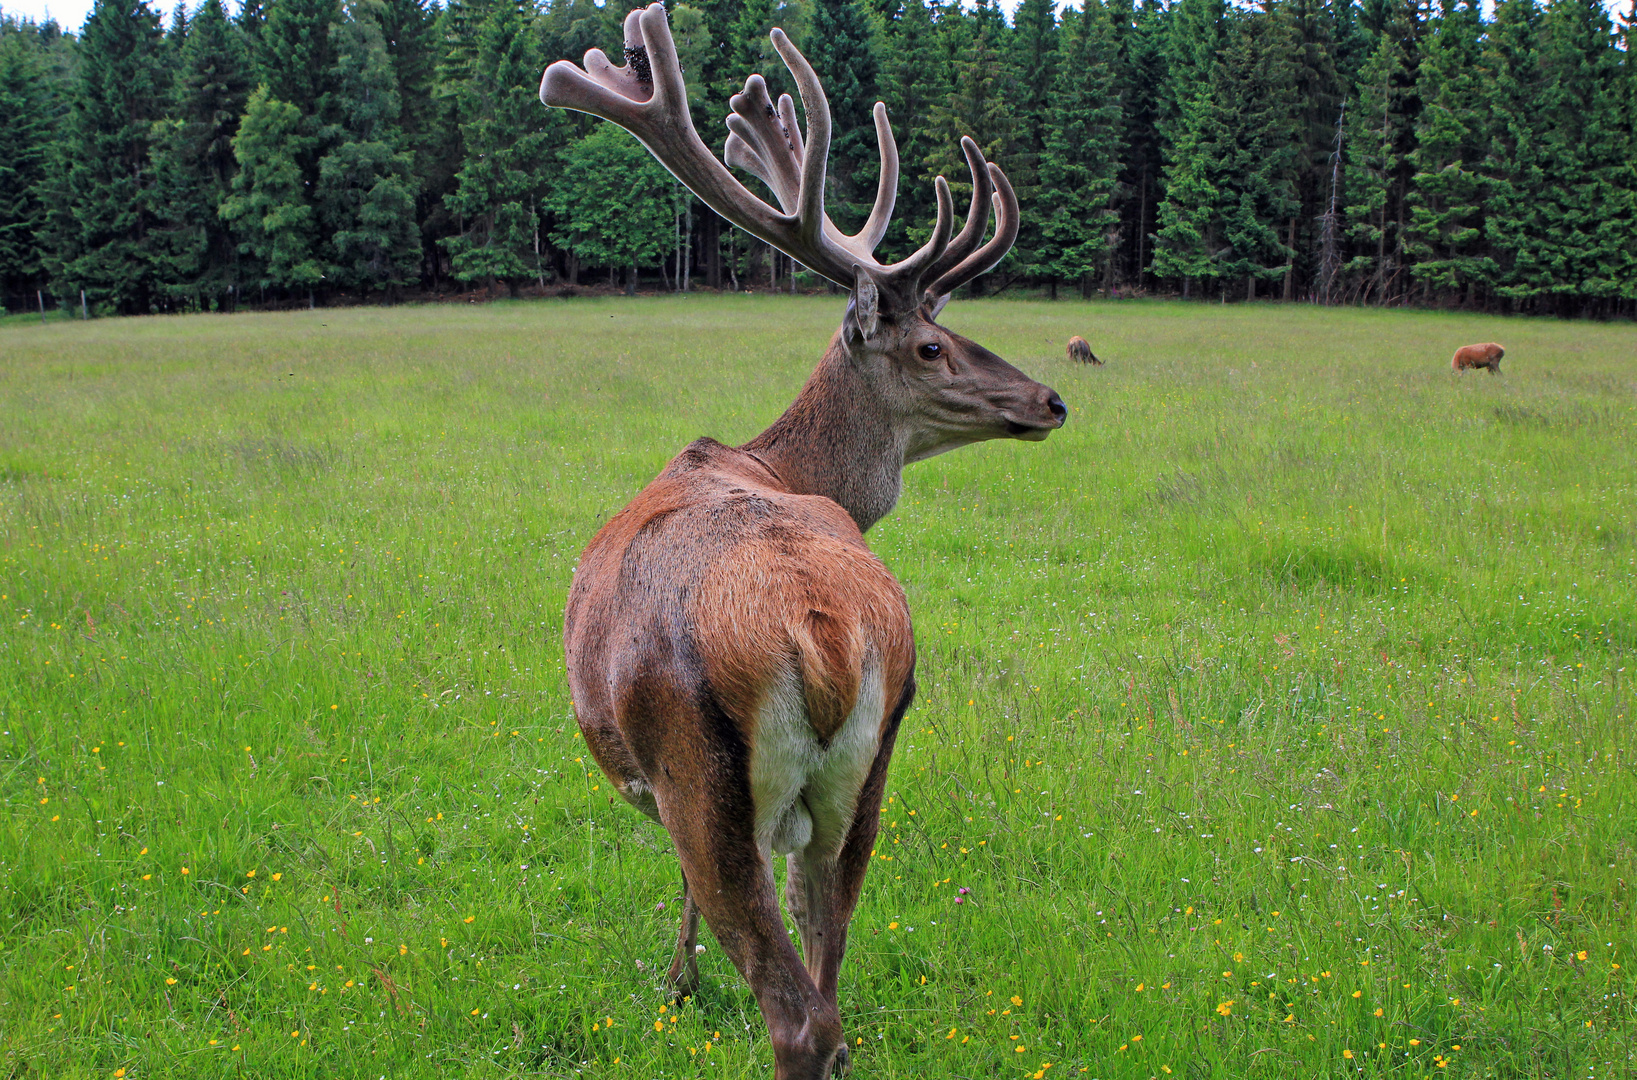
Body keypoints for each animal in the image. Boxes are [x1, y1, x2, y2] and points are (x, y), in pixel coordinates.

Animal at [543, 4, 1067, 1073]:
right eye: (933, 345)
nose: (1049, 399)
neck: (776, 466)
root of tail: (820, 631)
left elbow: (679, 895)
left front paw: (676, 983)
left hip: (697, 770)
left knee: (796, 1007)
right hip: (876, 761)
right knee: (829, 967)